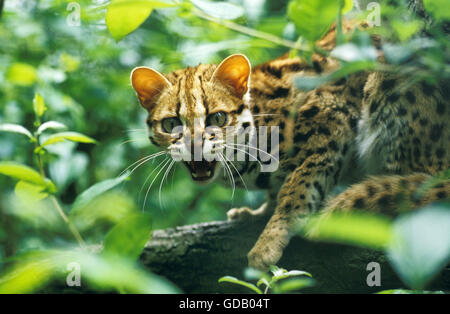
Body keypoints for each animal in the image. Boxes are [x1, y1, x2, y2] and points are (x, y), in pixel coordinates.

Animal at [131, 23, 450, 270]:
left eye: (217, 118)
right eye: (171, 124)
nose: (195, 146)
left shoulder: (329, 114)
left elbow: (298, 187)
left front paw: (270, 239)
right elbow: (278, 191)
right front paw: (257, 213)